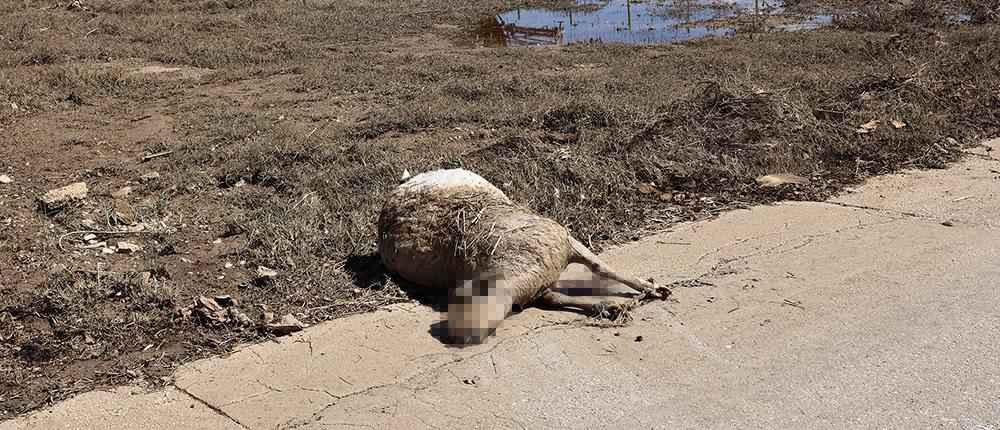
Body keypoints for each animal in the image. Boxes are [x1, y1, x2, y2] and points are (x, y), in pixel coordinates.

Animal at [378, 168, 668, 342]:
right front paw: (608, 306)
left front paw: (649, 288)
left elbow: (602, 267)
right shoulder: (538, 285)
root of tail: (405, 182)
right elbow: (556, 299)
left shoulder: (566, 241)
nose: (457, 334)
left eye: (466, 303)